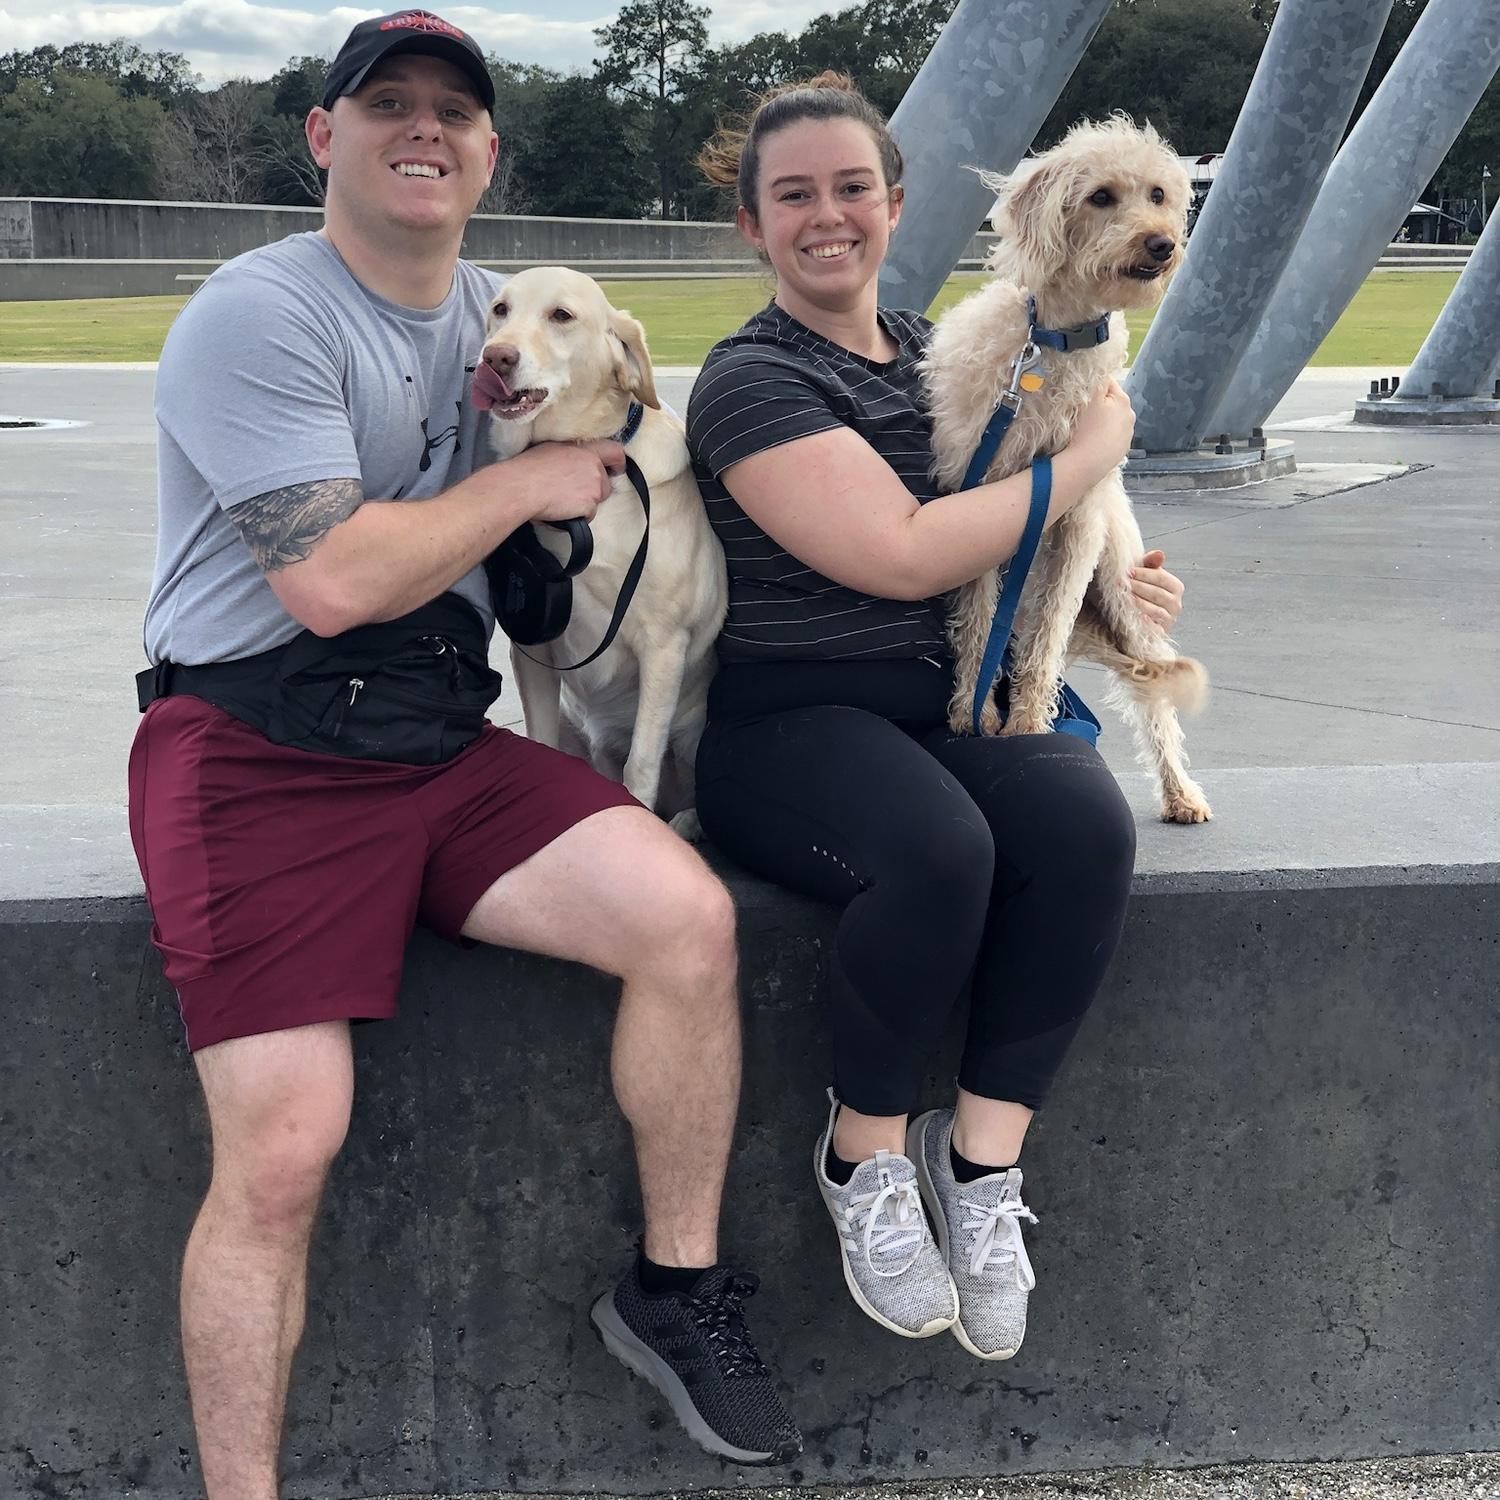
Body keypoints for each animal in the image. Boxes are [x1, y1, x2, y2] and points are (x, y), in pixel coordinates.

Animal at [471, 267, 727, 836]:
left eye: (561, 315)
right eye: (500, 309)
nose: (495, 358)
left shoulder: (663, 647)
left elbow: (641, 768)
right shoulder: (534, 651)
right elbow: (542, 749)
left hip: (695, 731)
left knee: (688, 796)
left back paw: (683, 823)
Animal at [923, 116, 1213, 824]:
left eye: (1159, 194)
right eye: (1101, 196)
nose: (1163, 244)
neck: (1051, 343)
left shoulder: (1076, 517)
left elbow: (1047, 637)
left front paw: (1027, 725)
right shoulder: (977, 497)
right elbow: (977, 627)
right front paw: (974, 719)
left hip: (1126, 598)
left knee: (1152, 702)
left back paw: (1181, 793)